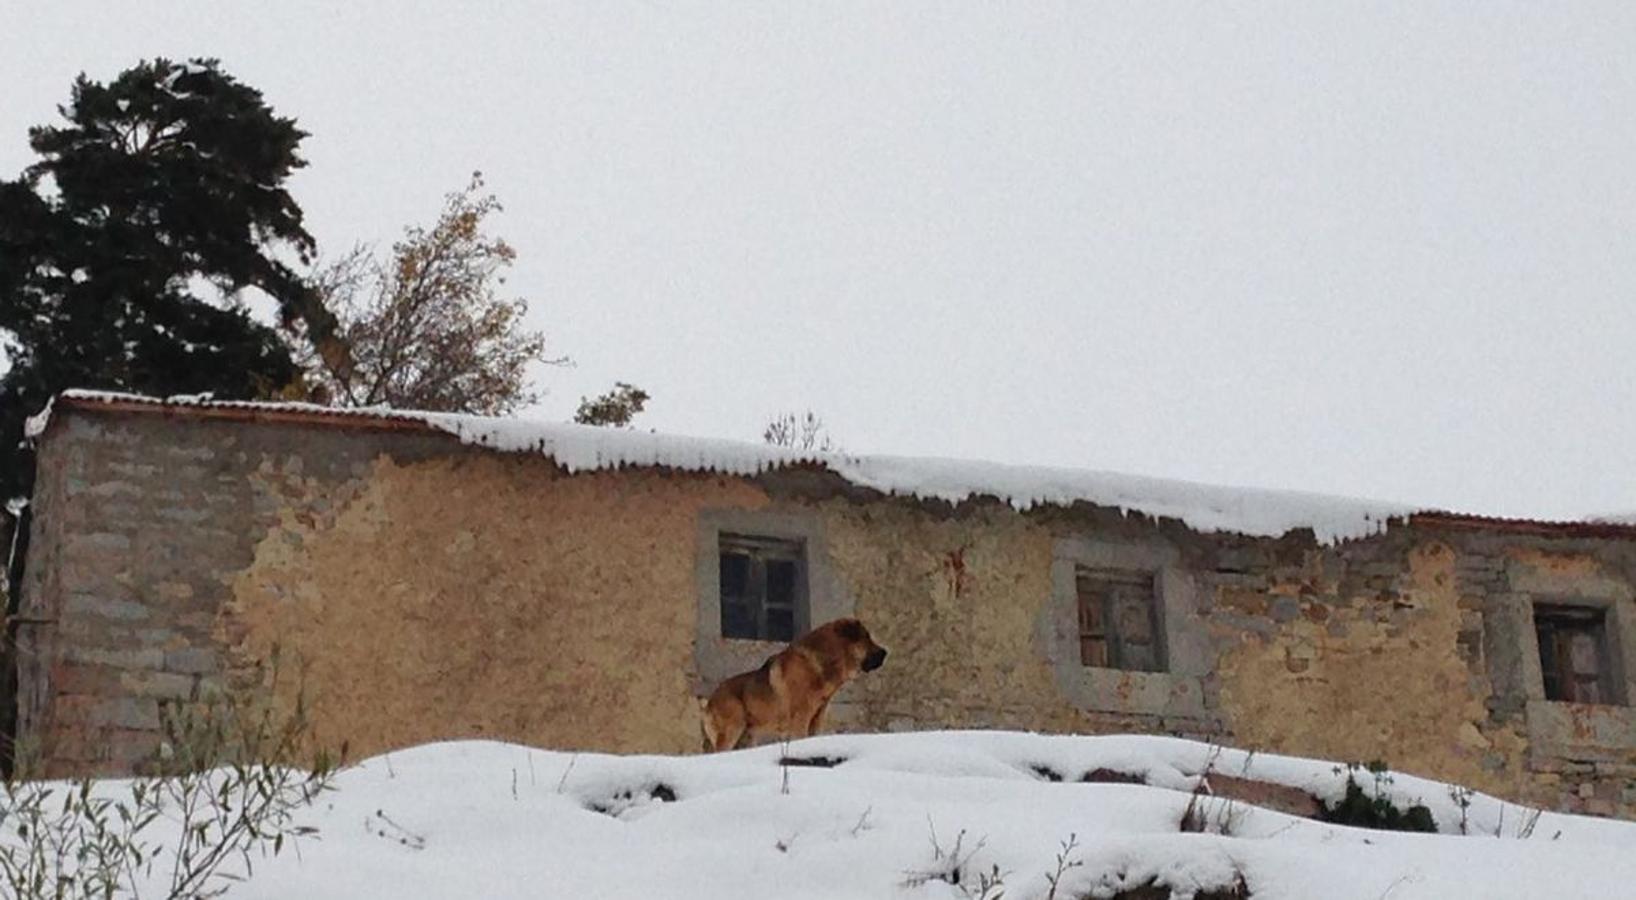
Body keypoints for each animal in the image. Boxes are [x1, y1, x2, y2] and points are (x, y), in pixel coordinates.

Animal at [700, 621, 889, 756]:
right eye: (866, 638)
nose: (885, 652)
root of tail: (710, 701)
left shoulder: (817, 717)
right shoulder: (801, 716)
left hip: (746, 738)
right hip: (732, 730)